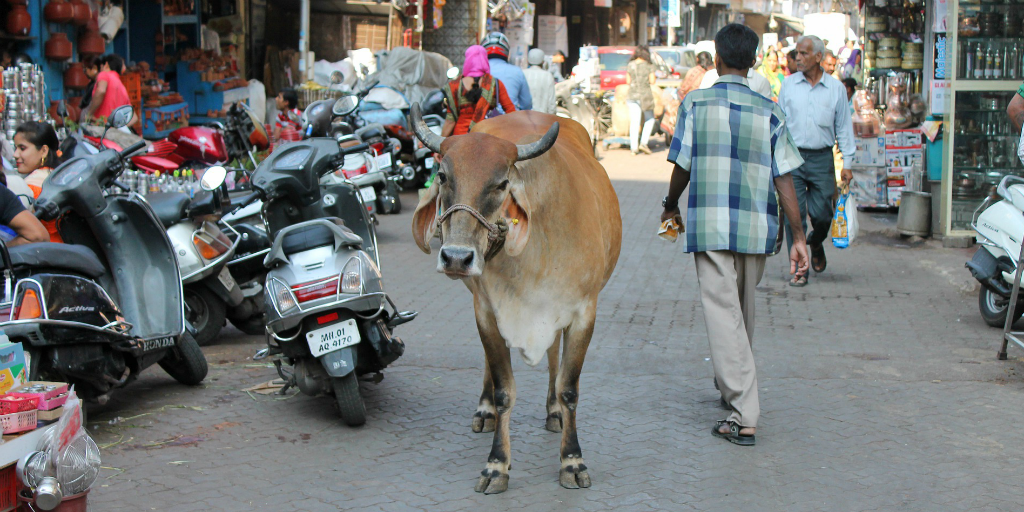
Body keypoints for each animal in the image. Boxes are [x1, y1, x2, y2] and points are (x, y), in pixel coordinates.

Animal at [409, 105, 618, 493]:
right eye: (443, 176)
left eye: (502, 183)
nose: (456, 257)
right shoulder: (487, 313)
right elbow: (504, 389)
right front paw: (496, 465)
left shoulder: (583, 312)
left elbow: (569, 388)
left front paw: (572, 460)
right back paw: (485, 410)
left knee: (553, 359)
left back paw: (553, 412)